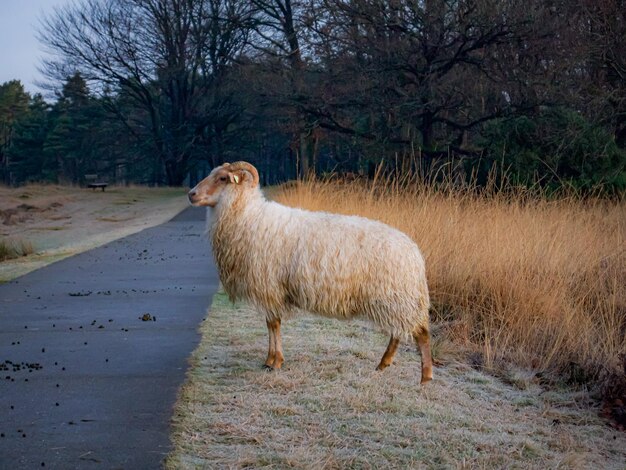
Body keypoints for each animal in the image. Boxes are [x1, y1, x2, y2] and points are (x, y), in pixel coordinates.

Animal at [188, 161, 432, 382]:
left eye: (223, 178)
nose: (191, 194)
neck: (248, 216)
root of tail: (414, 251)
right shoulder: (272, 289)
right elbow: (271, 324)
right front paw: (269, 360)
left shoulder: (270, 286)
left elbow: (274, 323)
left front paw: (275, 362)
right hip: (396, 298)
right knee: (399, 333)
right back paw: (384, 364)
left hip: (396, 296)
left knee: (420, 332)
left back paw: (425, 377)